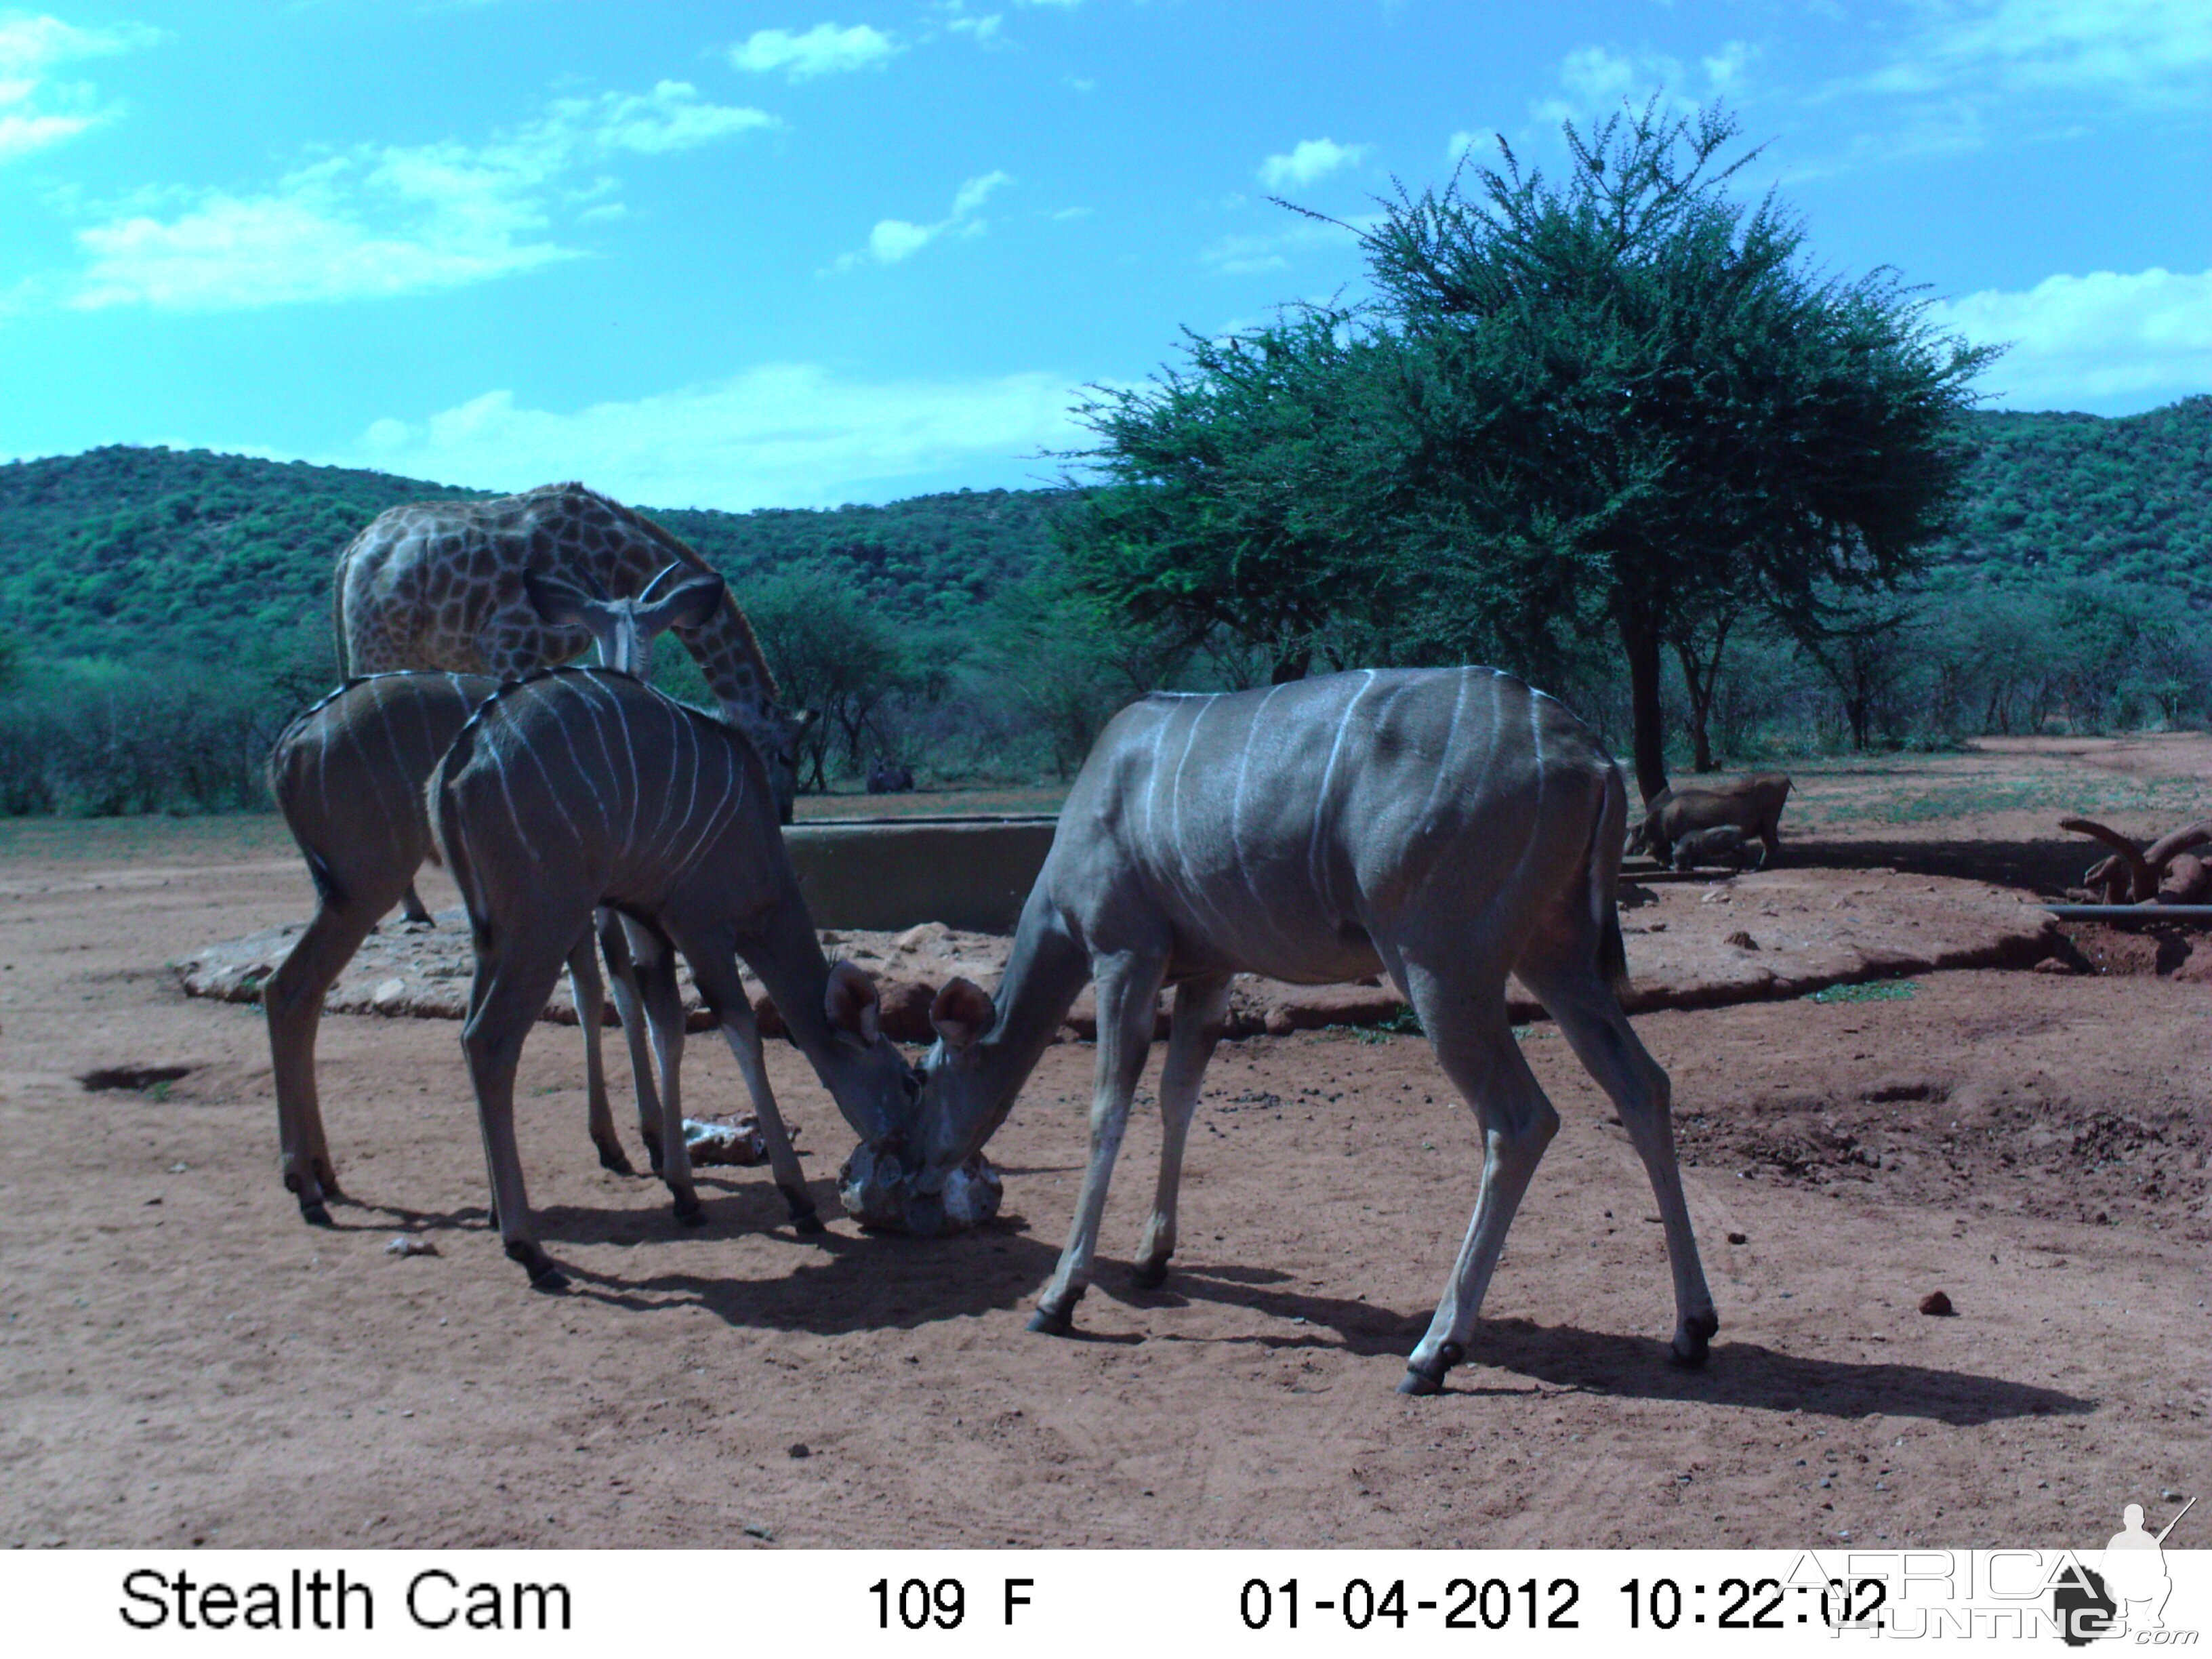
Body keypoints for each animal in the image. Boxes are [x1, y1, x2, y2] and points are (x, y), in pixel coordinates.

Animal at [327, 478, 814, 823]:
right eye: (785, 754)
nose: (784, 813)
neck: (619, 558)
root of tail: (350, 554)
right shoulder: (507, 641)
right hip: (378, 644)